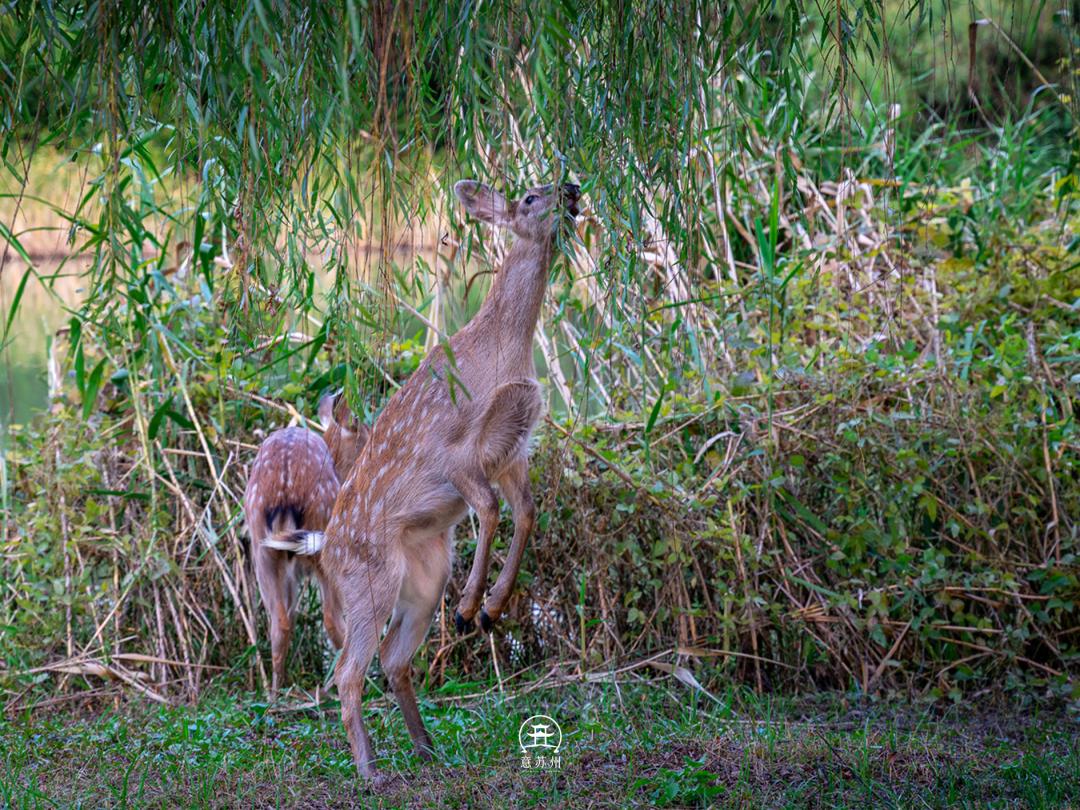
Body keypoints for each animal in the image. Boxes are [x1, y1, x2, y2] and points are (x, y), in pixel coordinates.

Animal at [245, 392, 369, 695]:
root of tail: (285, 489)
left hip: (262, 550)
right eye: (365, 433)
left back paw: (274, 693)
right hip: (323, 541)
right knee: (332, 619)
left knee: (280, 621)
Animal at [265, 178, 581, 780]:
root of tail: (325, 547)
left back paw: (427, 748)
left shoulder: (513, 450)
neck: (501, 355)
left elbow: (527, 513)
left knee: (392, 658)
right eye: (530, 197)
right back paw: (370, 769)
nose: (573, 188)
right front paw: (471, 611)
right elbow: (491, 509)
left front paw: (490, 610)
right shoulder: (455, 450)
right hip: (369, 579)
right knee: (347, 669)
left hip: (425, 573)